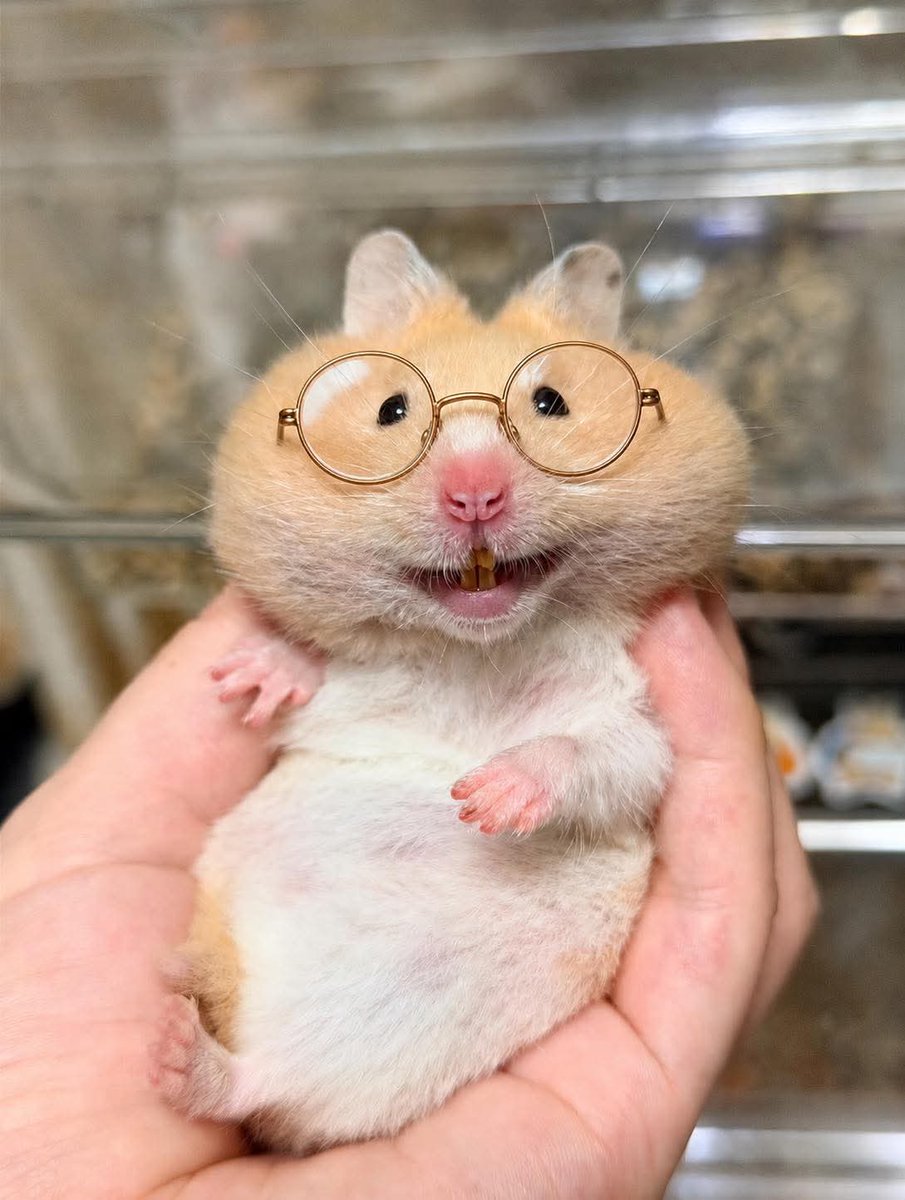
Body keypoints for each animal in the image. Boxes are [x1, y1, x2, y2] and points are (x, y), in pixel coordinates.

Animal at [154, 230, 750, 1154]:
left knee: (268, 1086)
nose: (474, 494)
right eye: (392, 411)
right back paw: (177, 1025)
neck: (475, 653)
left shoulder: (630, 715)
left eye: (548, 402)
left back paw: (178, 1048)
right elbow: (316, 676)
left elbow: (600, 755)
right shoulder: (359, 688)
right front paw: (251, 678)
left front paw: (486, 797)